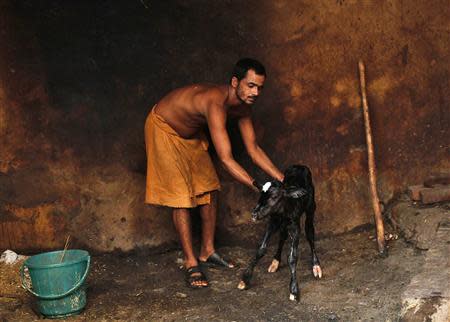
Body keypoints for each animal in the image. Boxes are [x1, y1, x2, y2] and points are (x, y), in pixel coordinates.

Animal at [237, 166, 322, 302]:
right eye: (261, 194)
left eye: (275, 196)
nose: (254, 214)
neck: (283, 212)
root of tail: (300, 166)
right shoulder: (273, 221)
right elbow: (261, 249)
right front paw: (245, 279)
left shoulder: (295, 227)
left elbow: (292, 257)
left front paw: (293, 290)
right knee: (282, 236)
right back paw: (275, 261)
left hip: (311, 208)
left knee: (310, 233)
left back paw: (316, 265)